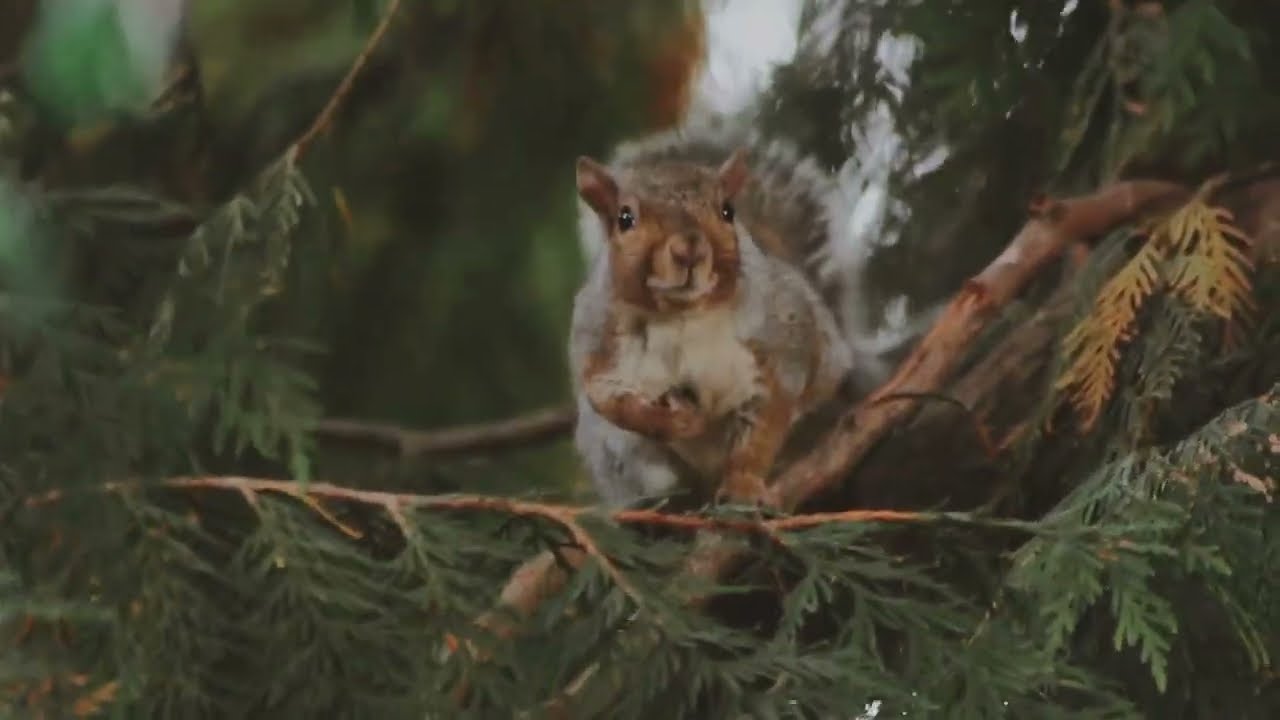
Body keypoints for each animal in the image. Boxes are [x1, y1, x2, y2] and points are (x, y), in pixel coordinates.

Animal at [568, 123, 890, 509]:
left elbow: (761, 432)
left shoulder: (780, 343)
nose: (689, 249)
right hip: (621, 456)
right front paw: (675, 421)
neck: (681, 315)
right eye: (625, 218)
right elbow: (611, 401)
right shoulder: (599, 346)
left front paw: (744, 486)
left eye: (726, 211)